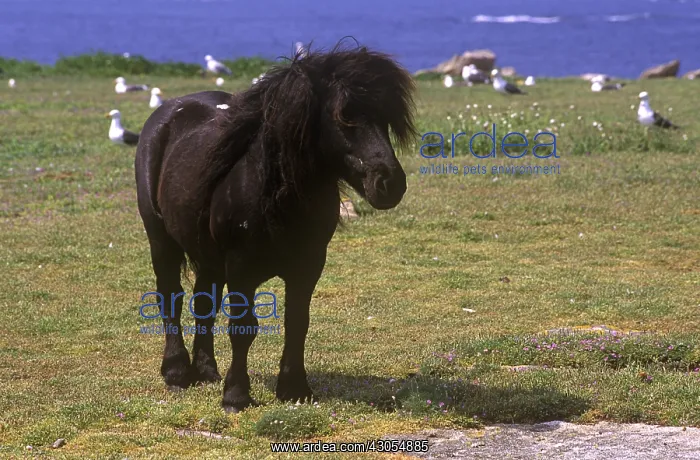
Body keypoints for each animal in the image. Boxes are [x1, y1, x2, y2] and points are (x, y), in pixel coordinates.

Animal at [134, 44, 416, 412]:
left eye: (385, 118)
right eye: (345, 117)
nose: (390, 183)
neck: (273, 193)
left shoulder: (308, 265)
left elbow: (297, 323)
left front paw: (295, 388)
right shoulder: (240, 266)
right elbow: (243, 327)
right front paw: (236, 395)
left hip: (208, 257)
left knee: (203, 302)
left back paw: (206, 371)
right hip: (162, 241)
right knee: (171, 297)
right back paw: (178, 372)